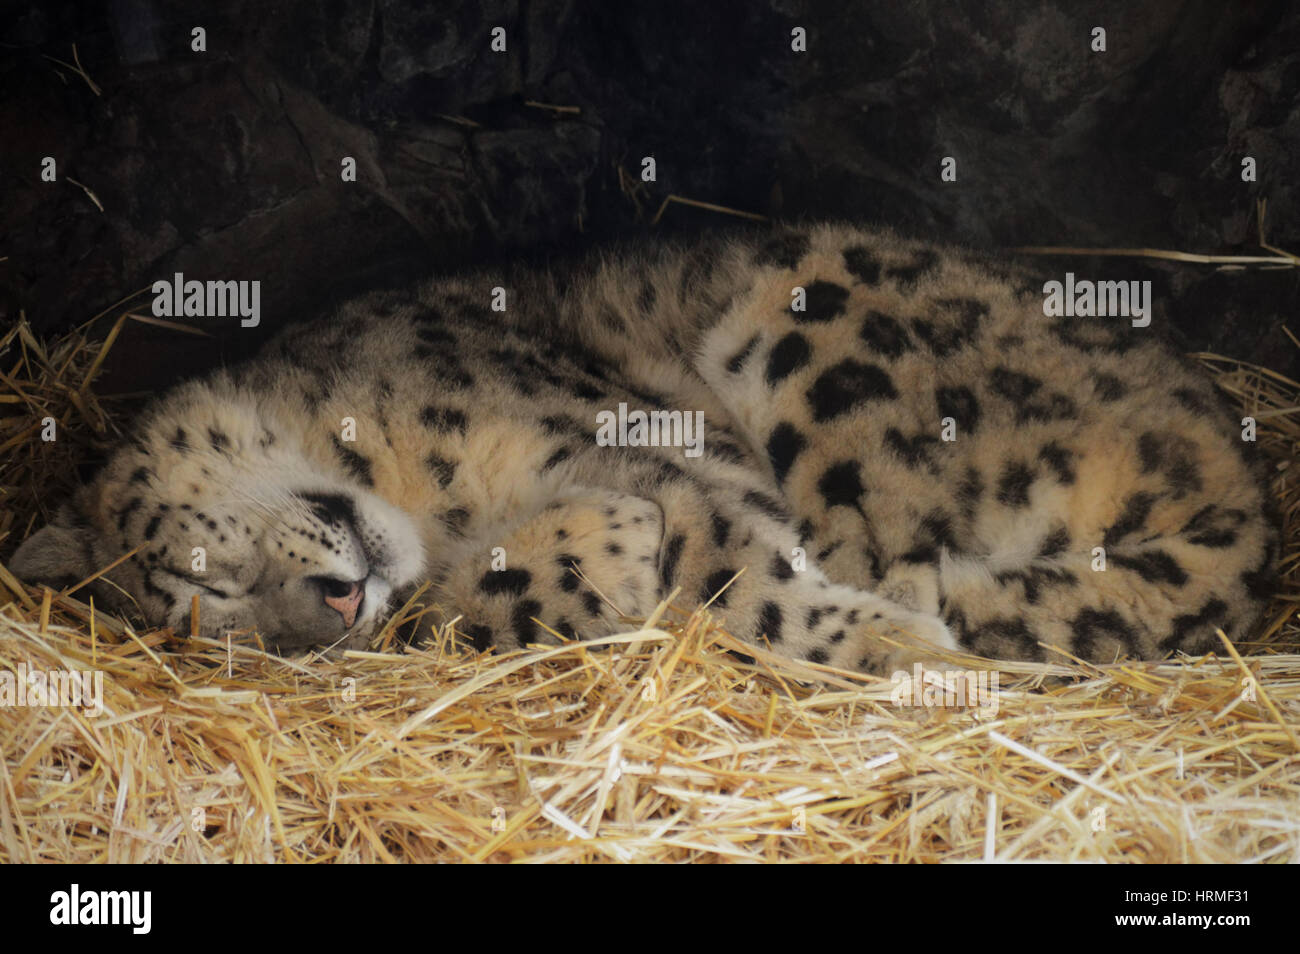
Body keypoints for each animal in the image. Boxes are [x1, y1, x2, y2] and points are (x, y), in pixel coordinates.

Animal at [9, 224, 1279, 674]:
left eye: (203, 577)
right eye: (227, 631)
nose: (332, 607)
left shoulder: (637, 436)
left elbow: (744, 571)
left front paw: (889, 649)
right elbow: (482, 609)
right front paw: (590, 555)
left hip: (813, 313)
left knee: (880, 541)